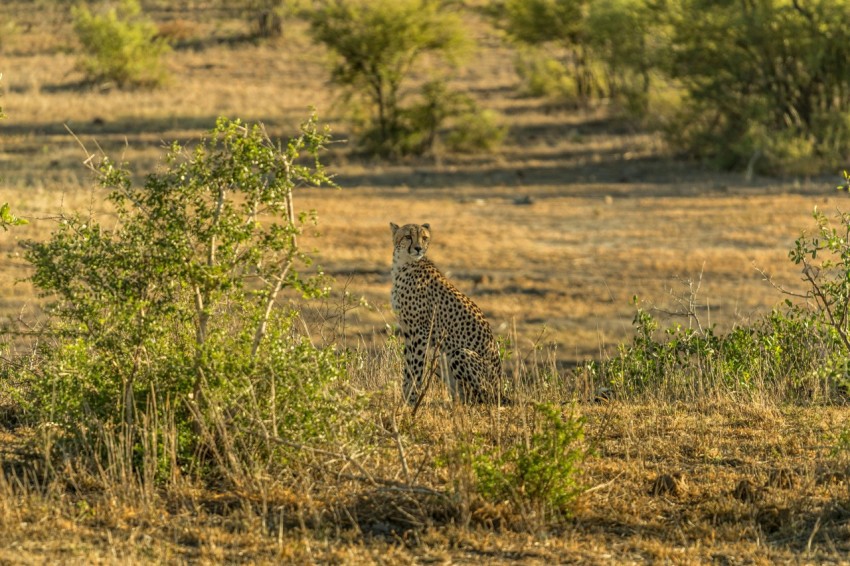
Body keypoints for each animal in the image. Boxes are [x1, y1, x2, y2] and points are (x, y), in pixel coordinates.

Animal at [390, 222, 505, 405]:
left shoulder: (421, 330)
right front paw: (405, 398)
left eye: (424, 237)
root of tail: (500, 390)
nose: (418, 248)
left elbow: (416, 366)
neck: (403, 263)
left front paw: (413, 399)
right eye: (408, 236)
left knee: (480, 399)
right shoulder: (408, 330)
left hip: (460, 354)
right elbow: (408, 366)